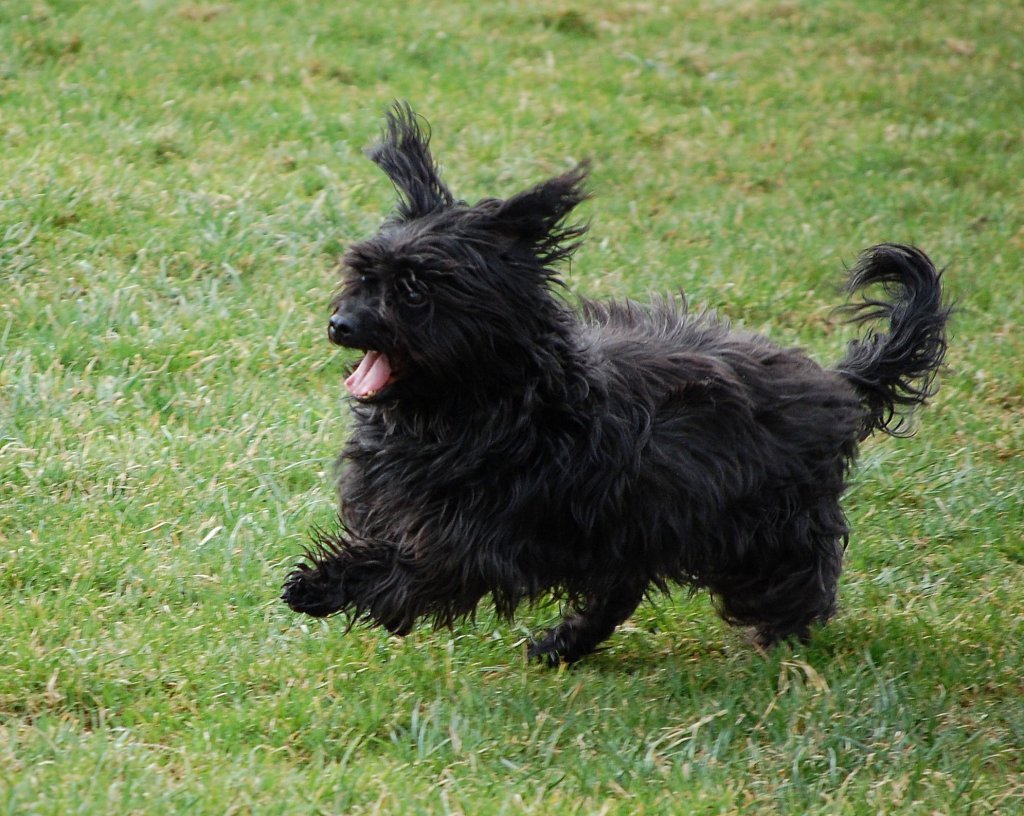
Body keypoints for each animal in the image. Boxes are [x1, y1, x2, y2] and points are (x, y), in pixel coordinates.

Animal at [282, 101, 950, 663]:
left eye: (415, 291)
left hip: (762, 525)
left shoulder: (470, 539)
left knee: (801, 576)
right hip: (635, 527)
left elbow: (410, 569)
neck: (480, 407)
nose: (342, 324)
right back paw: (564, 646)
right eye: (363, 275)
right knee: (618, 593)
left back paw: (782, 636)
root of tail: (837, 382)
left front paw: (325, 585)